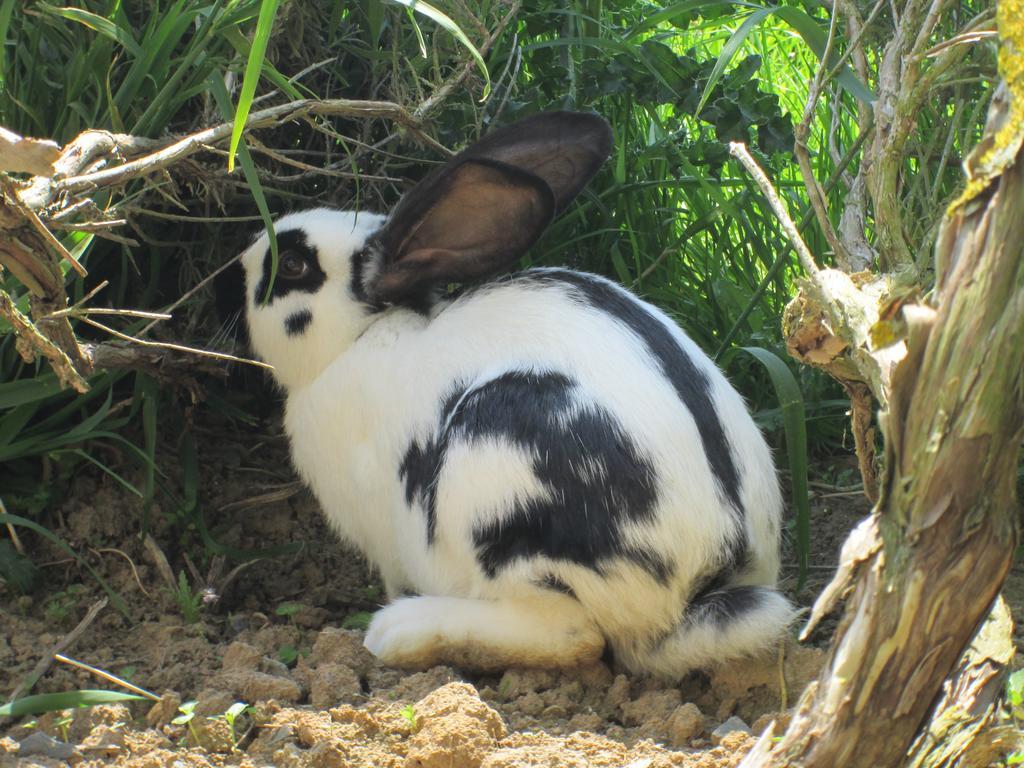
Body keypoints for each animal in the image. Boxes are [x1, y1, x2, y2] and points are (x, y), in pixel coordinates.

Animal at [237, 111, 790, 675]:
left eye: (294, 266)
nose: (244, 255)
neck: (362, 338)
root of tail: (703, 589)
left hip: (495, 478)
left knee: (572, 636)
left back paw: (400, 633)